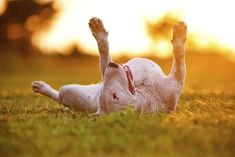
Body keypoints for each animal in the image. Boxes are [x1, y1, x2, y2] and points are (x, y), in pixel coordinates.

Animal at [32, 17, 187, 114]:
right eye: (114, 97)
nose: (112, 65)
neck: (145, 94)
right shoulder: (175, 82)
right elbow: (179, 56)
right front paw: (179, 35)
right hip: (68, 91)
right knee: (58, 95)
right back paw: (42, 87)